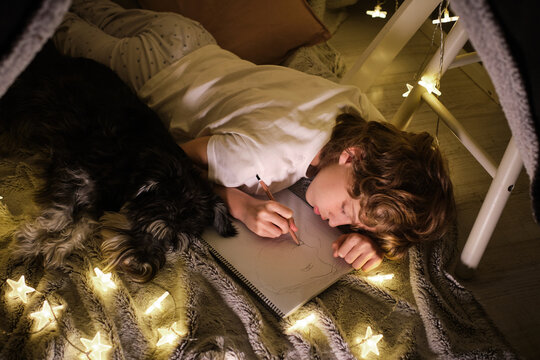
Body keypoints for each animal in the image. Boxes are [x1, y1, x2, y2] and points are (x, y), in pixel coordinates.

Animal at [0, 44, 236, 282]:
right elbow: (59, 214)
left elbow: (86, 224)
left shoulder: (99, 200)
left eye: (173, 242)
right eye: (147, 224)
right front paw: (28, 244)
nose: (140, 267)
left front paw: (57, 248)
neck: (132, 161)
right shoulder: (73, 173)